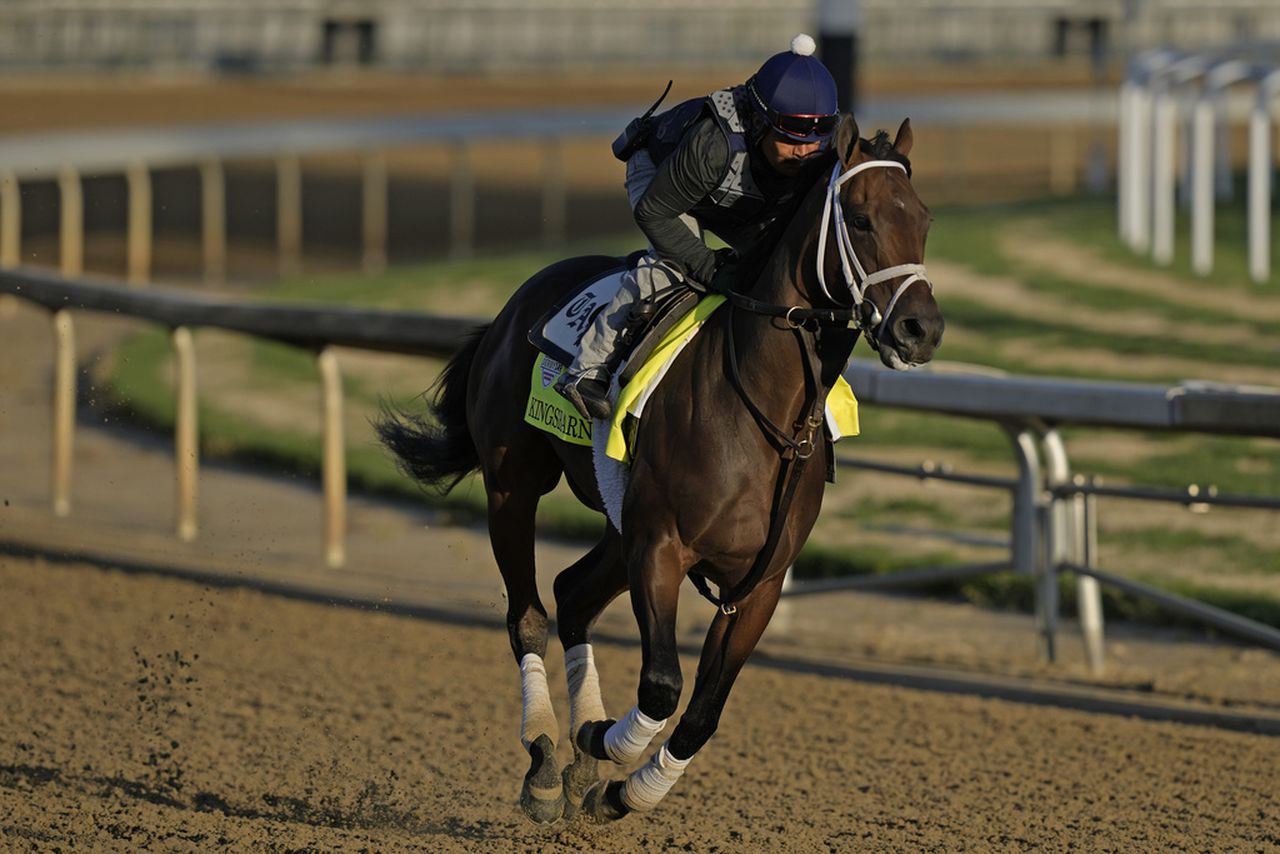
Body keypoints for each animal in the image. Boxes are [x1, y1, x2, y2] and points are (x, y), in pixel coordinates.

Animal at [373, 113, 947, 819]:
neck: (764, 415)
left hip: (619, 521)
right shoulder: (660, 547)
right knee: (529, 614)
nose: (922, 328)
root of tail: (514, 306)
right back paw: (545, 758)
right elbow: (662, 686)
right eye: (861, 219)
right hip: (515, 487)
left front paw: (619, 784)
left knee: (571, 592)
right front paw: (598, 742)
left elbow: (701, 713)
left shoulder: (758, 582)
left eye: (923, 218)